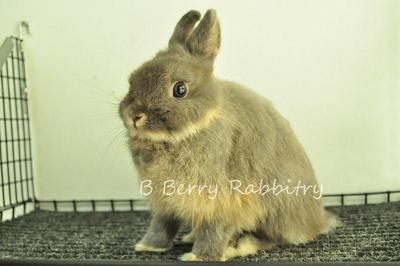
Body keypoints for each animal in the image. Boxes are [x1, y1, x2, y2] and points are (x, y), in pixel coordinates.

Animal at [118, 8, 338, 262]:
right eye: (132, 79)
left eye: (180, 89)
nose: (134, 116)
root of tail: (317, 221)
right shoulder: (165, 202)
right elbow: (162, 224)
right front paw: (148, 246)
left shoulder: (221, 198)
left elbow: (214, 229)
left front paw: (199, 257)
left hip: (274, 207)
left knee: (274, 238)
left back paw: (239, 246)